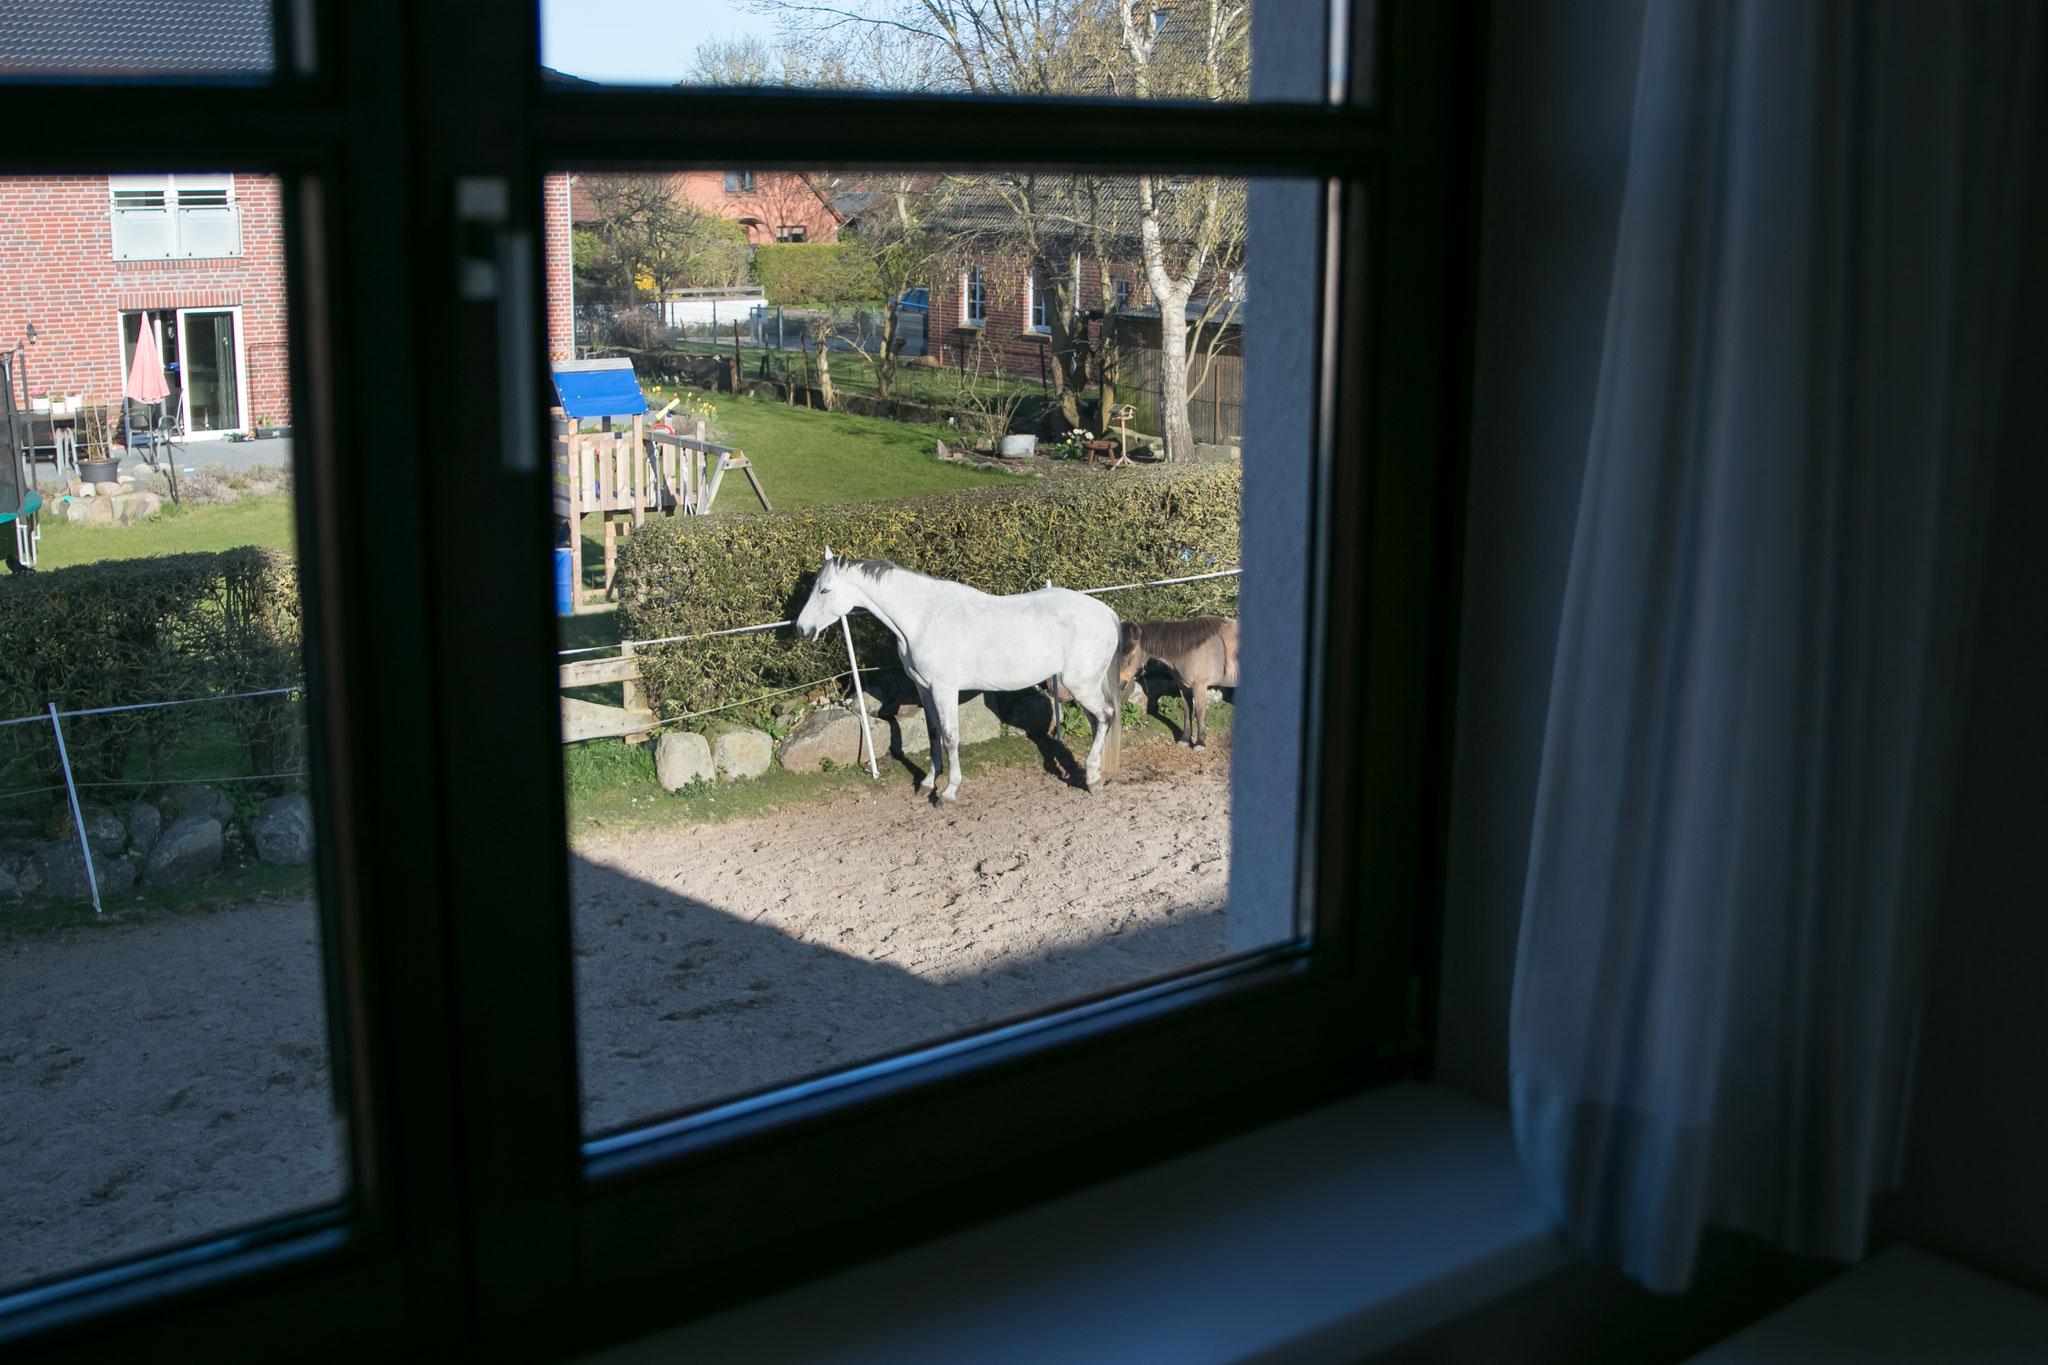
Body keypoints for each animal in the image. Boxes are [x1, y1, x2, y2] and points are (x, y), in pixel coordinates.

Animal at [794, 544, 1122, 802]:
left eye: (825, 590)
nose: (801, 628)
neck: (924, 617)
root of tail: (1106, 613)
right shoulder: (924, 688)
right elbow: (933, 732)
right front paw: (927, 784)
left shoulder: (944, 689)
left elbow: (951, 736)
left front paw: (949, 792)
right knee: (1098, 720)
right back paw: (1092, 773)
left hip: (1080, 684)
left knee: (1105, 716)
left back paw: (1092, 780)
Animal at [1122, 618, 1228, 753]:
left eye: (1129, 649)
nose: (1120, 683)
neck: (1189, 651)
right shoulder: (1183, 686)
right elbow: (1187, 710)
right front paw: (1185, 739)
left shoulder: (1199, 687)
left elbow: (1199, 713)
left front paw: (1200, 742)